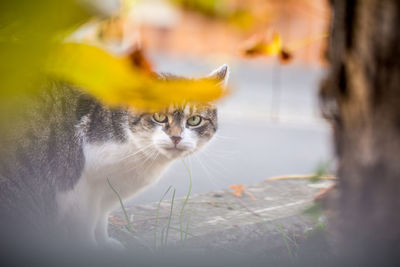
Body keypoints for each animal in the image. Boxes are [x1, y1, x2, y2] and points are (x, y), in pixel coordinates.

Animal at [0, 63, 228, 250]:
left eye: (195, 120)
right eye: (159, 116)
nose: (176, 137)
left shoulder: (107, 192)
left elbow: (101, 219)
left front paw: (105, 243)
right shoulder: (79, 189)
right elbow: (84, 224)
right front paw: (90, 248)